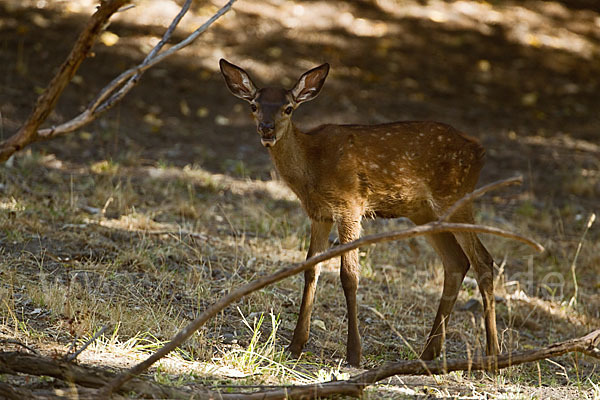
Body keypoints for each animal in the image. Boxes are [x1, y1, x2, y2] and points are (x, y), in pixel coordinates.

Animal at [218, 57, 500, 368]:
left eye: (288, 108)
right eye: (254, 105)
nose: (267, 129)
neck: (311, 169)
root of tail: (479, 152)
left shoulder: (350, 205)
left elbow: (349, 275)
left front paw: (354, 353)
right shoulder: (319, 214)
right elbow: (310, 269)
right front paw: (296, 345)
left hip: (456, 196)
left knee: (483, 260)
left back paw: (493, 353)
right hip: (424, 211)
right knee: (456, 262)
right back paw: (429, 352)